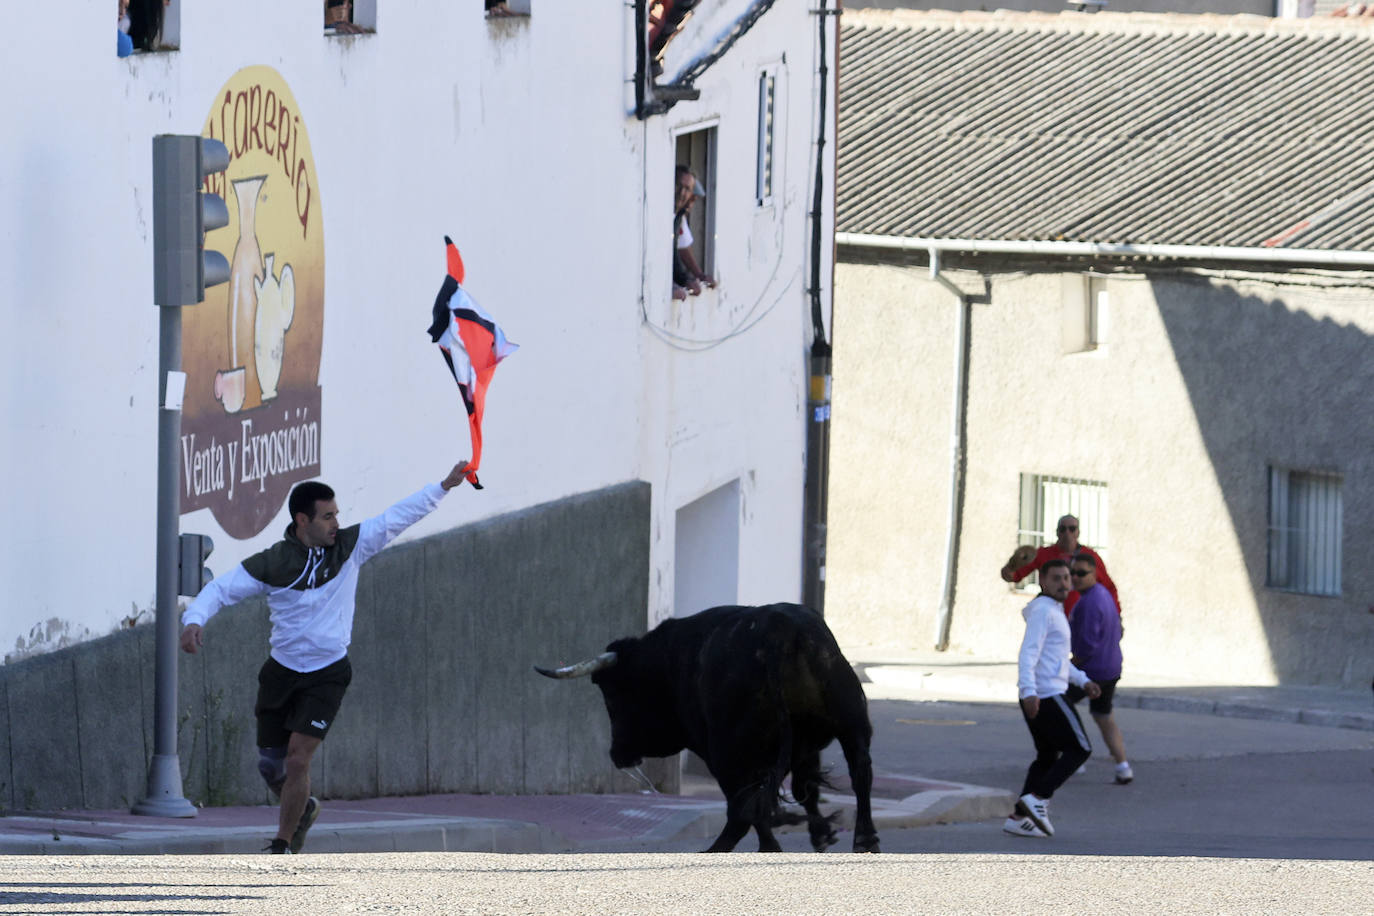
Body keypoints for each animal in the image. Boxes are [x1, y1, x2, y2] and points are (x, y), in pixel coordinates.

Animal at [535, 604, 879, 856]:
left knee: (744, 803)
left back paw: (725, 848)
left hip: (728, 751)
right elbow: (801, 789)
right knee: (859, 773)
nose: (617, 754)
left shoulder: (717, 748)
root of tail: (779, 629)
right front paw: (821, 835)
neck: (666, 662)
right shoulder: (802, 746)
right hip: (851, 723)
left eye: (612, 697)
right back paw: (864, 840)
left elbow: (754, 800)